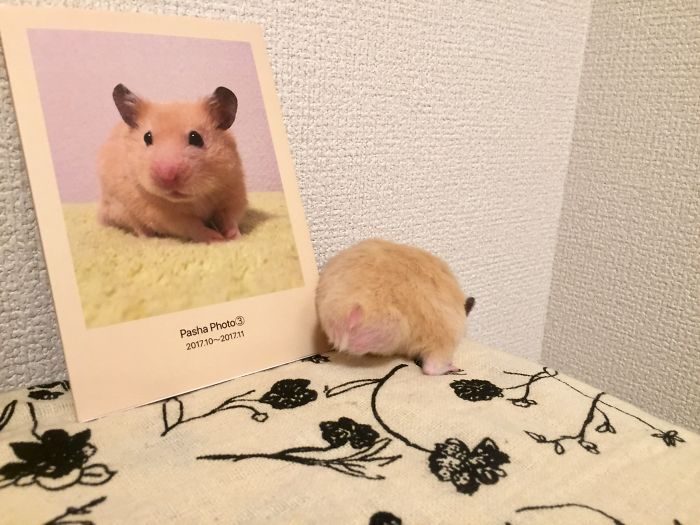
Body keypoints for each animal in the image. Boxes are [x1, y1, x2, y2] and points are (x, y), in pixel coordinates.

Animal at [97, 84, 247, 243]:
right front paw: (216, 238)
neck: (195, 198)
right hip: (121, 208)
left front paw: (235, 237)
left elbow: (229, 218)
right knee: (137, 226)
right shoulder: (167, 217)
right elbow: (194, 227)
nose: (167, 176)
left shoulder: (233, 192)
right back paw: (149, 237)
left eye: (196, 138)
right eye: (147, 137)